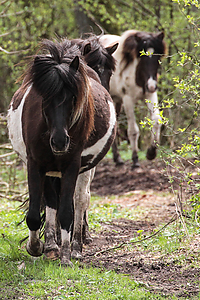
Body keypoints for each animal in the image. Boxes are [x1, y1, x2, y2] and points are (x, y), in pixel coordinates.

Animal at [7, 39, 116, 264]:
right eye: (44, 98)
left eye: (74, 98)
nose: (59, 141)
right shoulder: (35, 164)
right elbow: (35, 213)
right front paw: (37, 246)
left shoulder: (72, 166)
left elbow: (69, 209)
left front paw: (67, 253)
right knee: (52, 200)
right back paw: (51, 244)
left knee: (78, 200)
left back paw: (74, 246)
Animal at [100, 30, 166, 168]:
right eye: (142, 57)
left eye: (157, 57)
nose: (151, 85)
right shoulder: (128, 99)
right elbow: (133, 131)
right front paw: (135, 159)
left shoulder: (150, 95)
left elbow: (156, 120)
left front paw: (151, 152)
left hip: (116, 101)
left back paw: (118, 158)